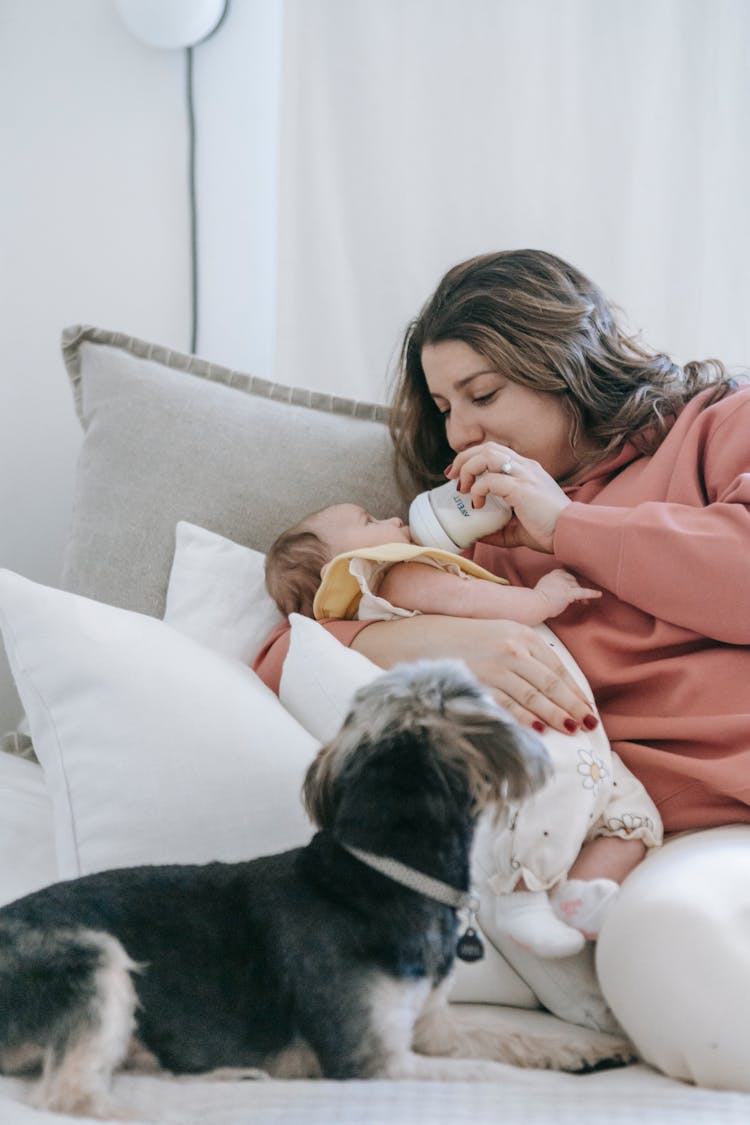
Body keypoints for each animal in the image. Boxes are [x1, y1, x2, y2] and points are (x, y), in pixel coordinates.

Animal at [0, 657, 634, 1116]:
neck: (377, 874)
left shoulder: (432, 1026)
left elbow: (506, 1037)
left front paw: (587, 1049)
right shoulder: (373, 1059)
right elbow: (487, 1071)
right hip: (94, 958)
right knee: (71, 1096)